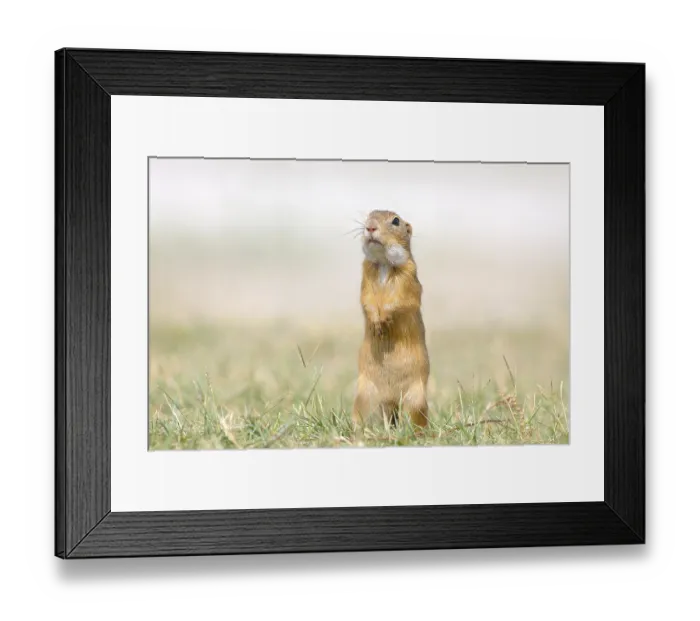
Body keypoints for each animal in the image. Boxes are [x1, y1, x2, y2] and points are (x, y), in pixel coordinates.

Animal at [352, 210, 430, 428]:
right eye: (369, 215)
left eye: (396, 221)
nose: (370, 226)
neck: (384, 262)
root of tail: (391, 398)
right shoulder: (366, 274)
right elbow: (366, 299)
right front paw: (376, 321)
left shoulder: (409, 276)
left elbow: (401, 301)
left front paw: (384, 319)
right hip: (364, 395)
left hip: (416, 397)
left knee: (417, 417)